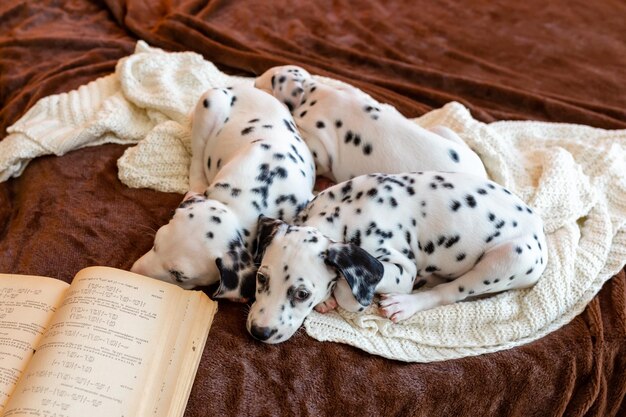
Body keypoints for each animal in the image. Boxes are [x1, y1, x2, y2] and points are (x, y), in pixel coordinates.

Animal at [246, 171, 544, 342]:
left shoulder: (401, 269)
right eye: (261, 278)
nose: (260, 332)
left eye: (302, 294)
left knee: (450, 292)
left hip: (510, 257)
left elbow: (348, 290)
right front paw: (327, 300)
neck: (343, 213)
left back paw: (406, 303)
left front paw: (338, 295)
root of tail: (540, 230)